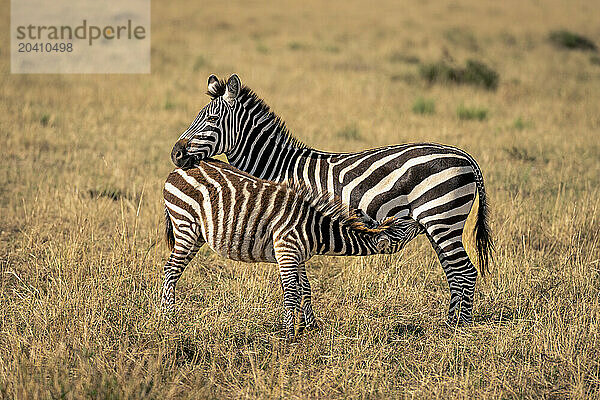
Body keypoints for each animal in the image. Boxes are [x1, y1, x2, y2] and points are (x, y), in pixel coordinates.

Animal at [162, 158, 420, 340]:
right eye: (403, 227)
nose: (418, 219)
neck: (316, 230)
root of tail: (177, 170)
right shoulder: (286, 250)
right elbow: (290, 292)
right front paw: (289, 334)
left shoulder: (300, 255)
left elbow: (305, 288)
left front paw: (310, 325)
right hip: (185, 225)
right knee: (170, 270)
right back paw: (168, 318)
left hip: (196, 234)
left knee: (173, 270)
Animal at [170, 74, 492, 324]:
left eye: (211, 119)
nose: (176, 154)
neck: (281, 167)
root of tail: (465, 156)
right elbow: (302, 280)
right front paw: (308, 324)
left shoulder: (293, 224)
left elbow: (301, 282)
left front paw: (305, 324)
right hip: (439, 223)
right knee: (454, 271)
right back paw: (450, 321)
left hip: (442, 217)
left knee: (464, 271)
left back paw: (457, 328)